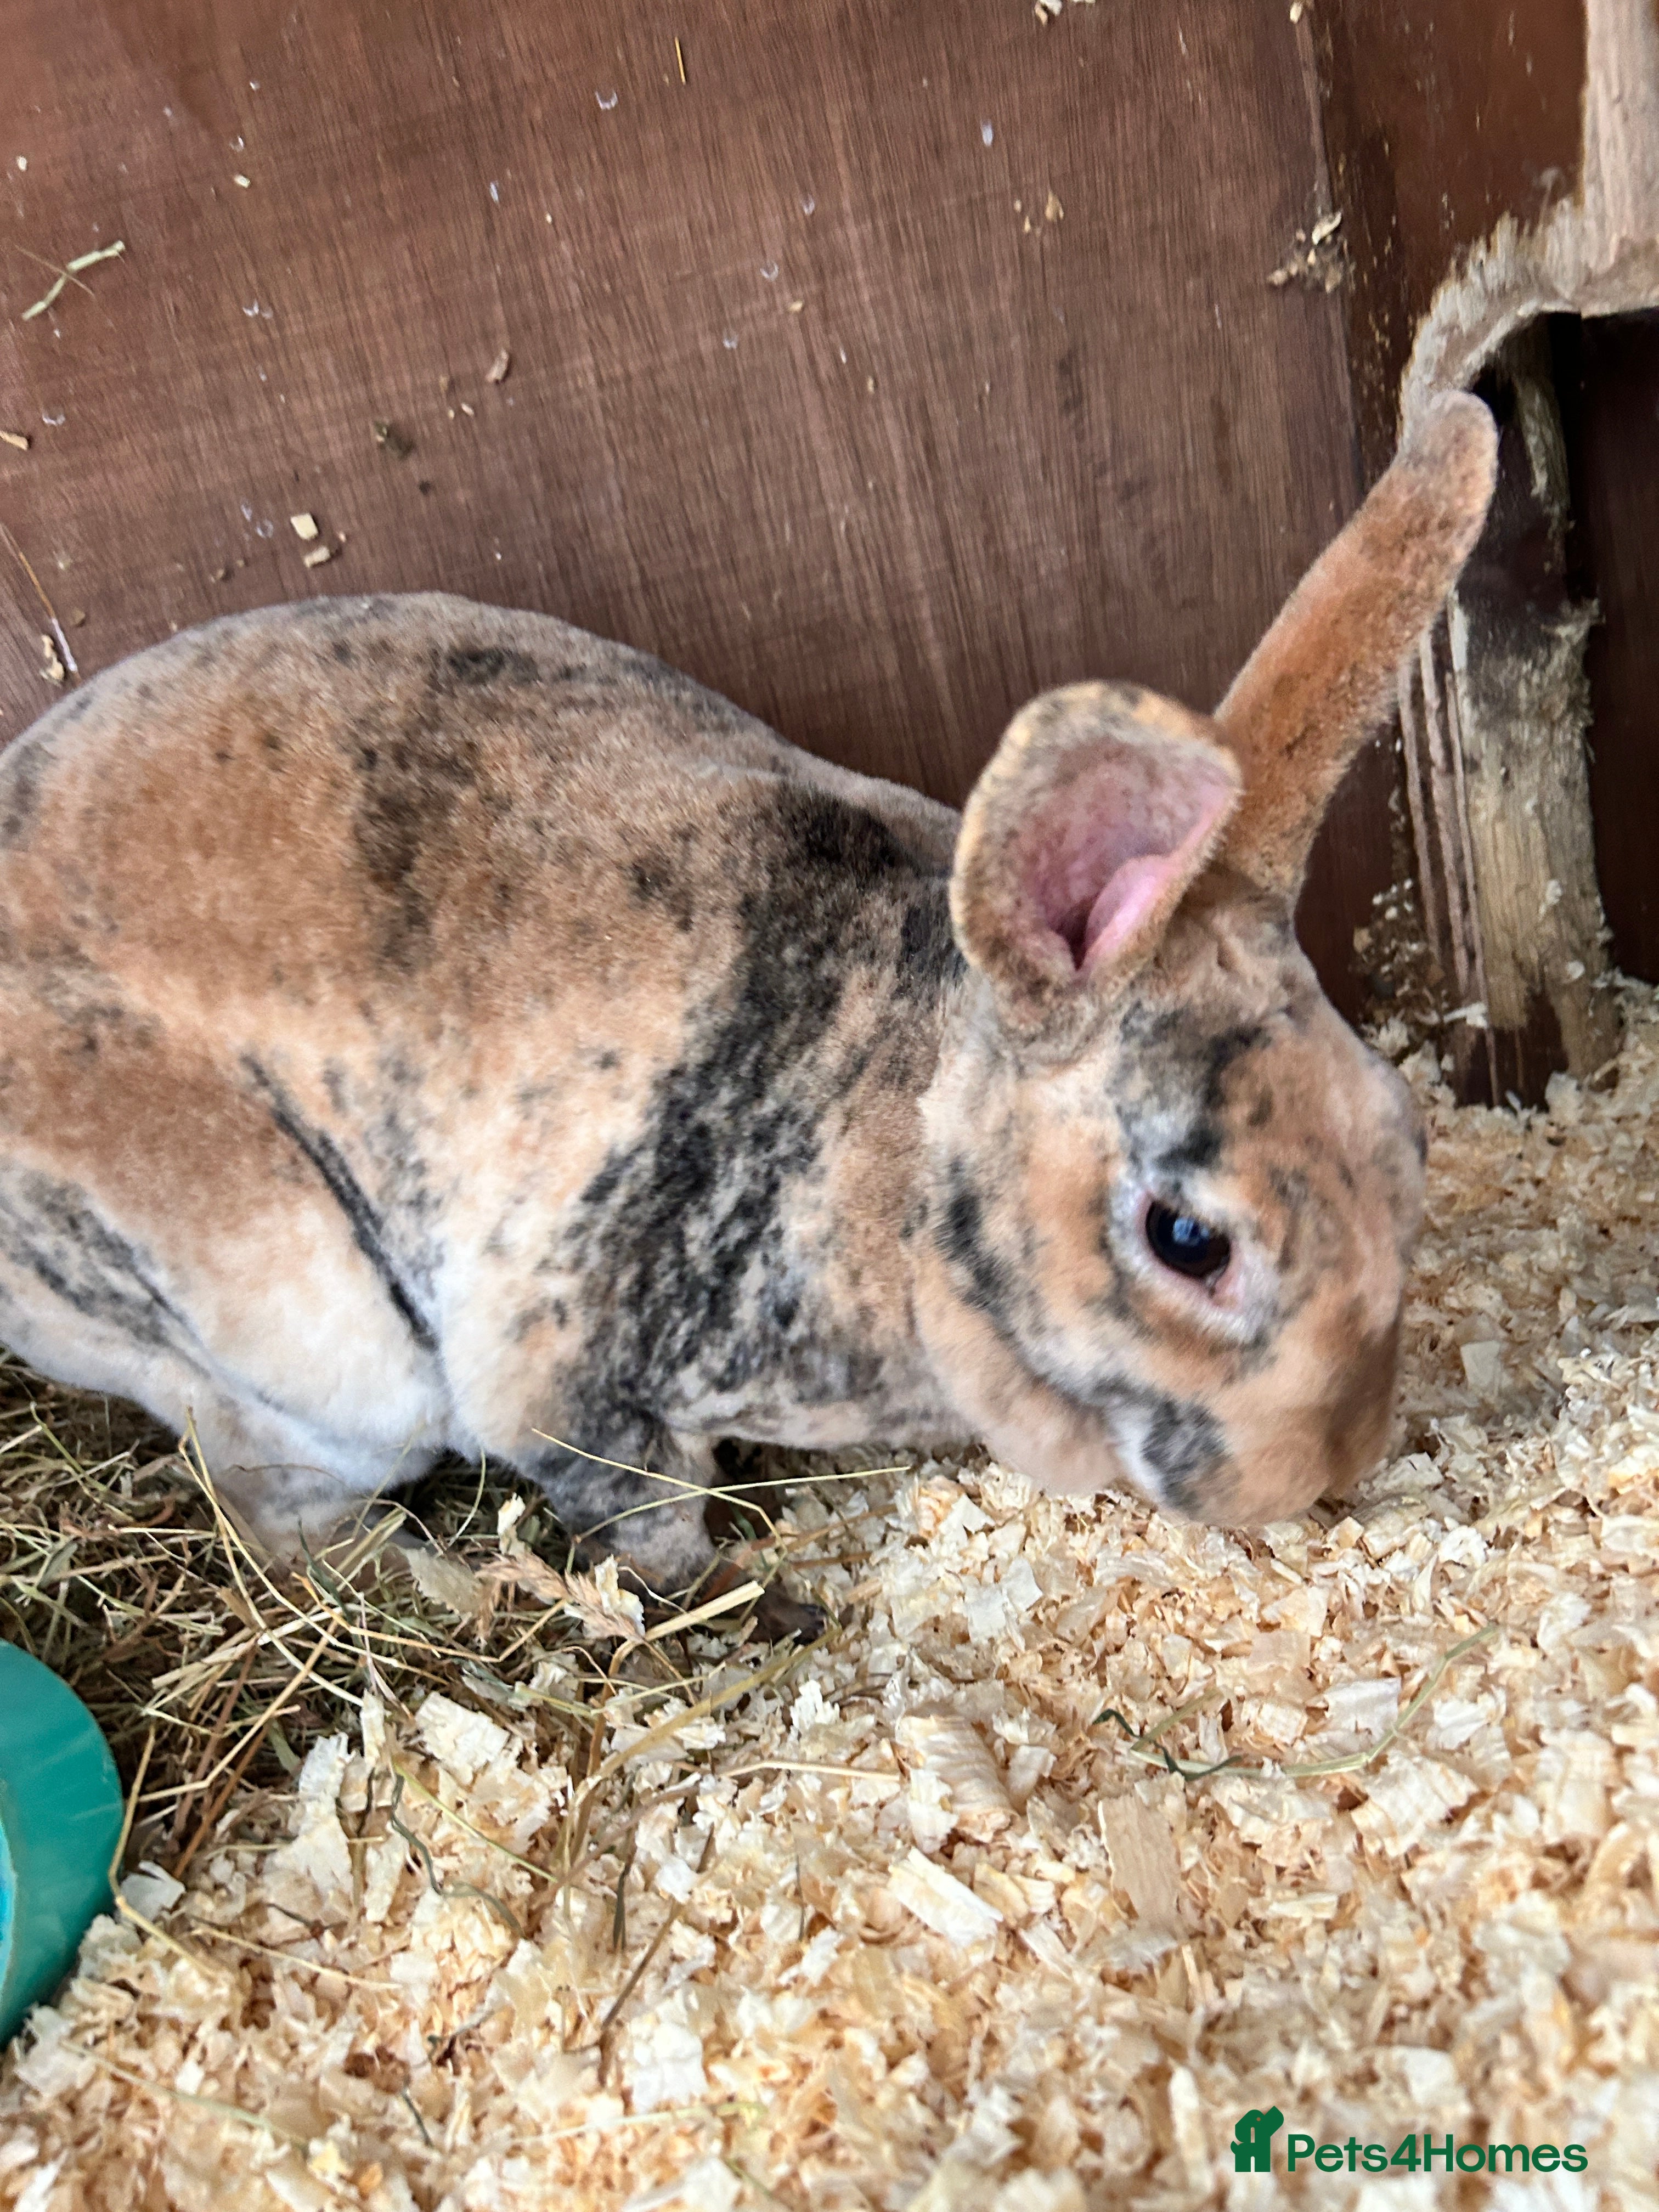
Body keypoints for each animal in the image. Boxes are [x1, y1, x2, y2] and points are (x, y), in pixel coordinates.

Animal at [0, 393, 1496, 1621]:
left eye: (1410, 1134)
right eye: (1188, 1239)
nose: (1326, 1466)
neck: (900, 1164)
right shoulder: (566, 1395)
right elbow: (647, 1519)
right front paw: (746, 1596)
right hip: (314, 1338)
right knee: (273, 1504)